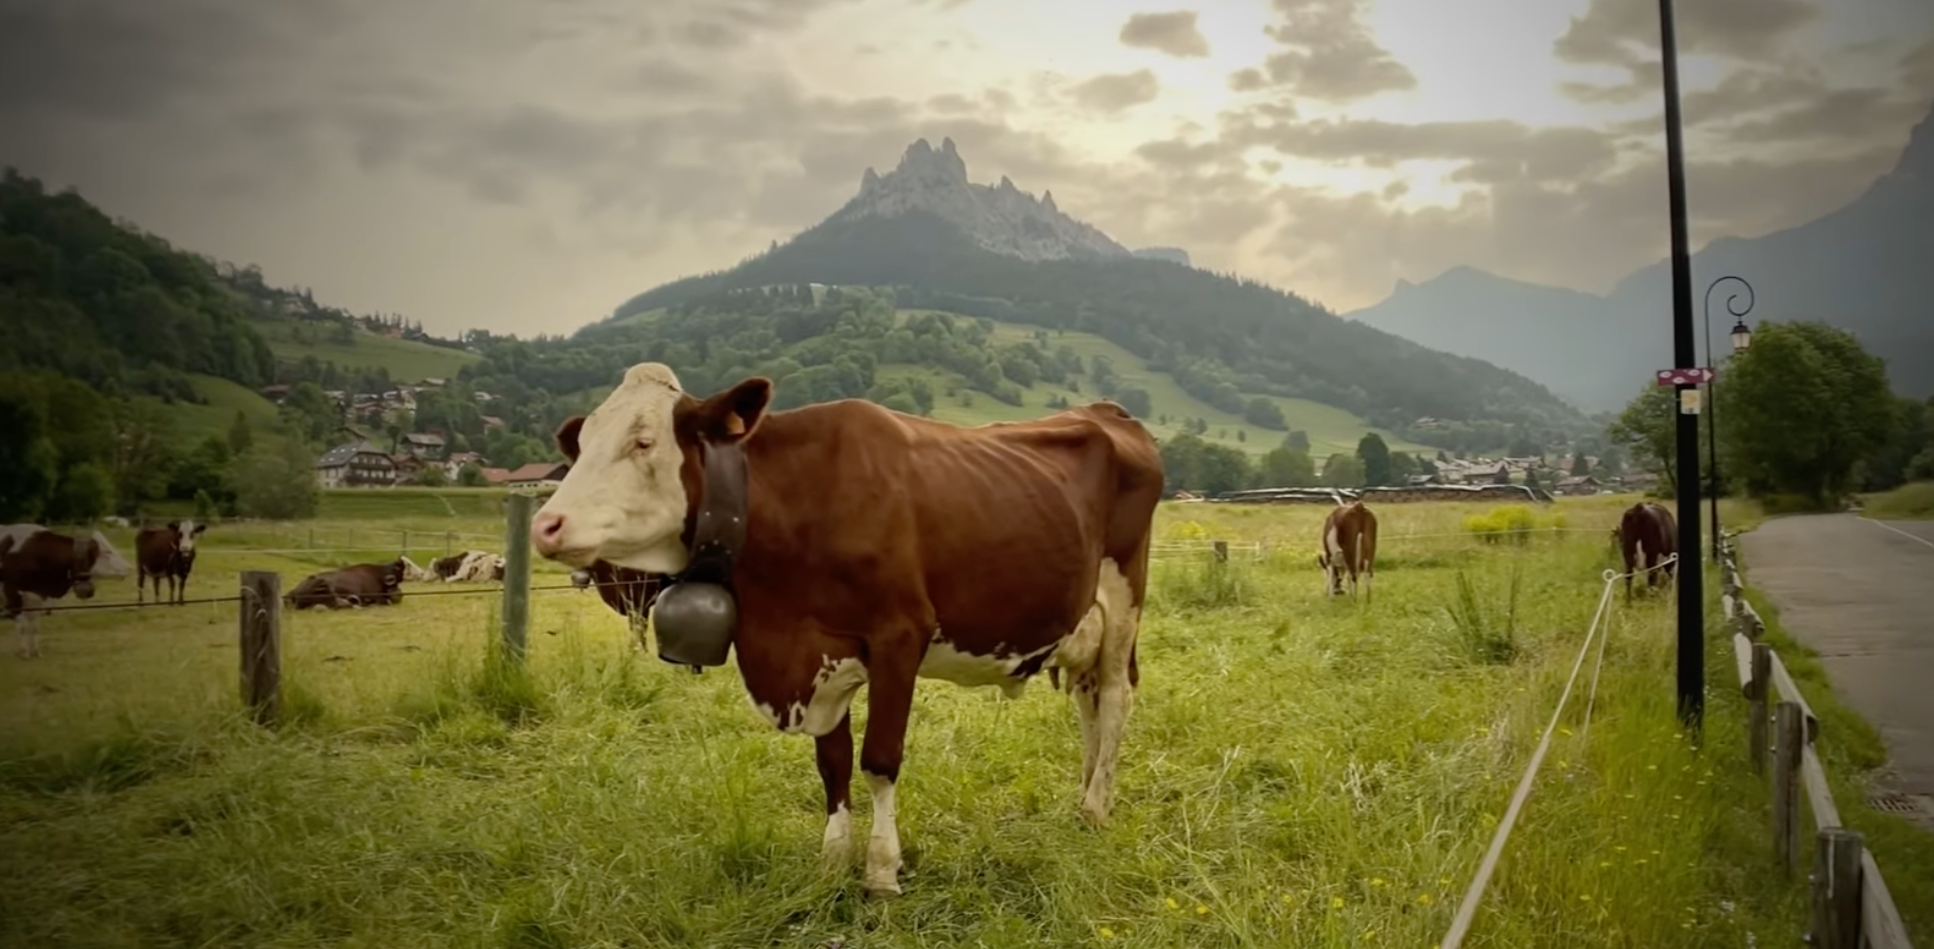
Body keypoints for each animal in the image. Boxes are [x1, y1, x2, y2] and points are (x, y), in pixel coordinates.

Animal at [0, 524, 134, 658]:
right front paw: (24, 653)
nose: (129, 567)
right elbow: (21, 626)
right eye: (108, 552)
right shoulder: (12, 594)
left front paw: (36, 652)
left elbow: (34, 626)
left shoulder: (37, 596)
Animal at [529, 363, 1164, 900]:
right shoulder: (817, 652)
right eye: (583, 444)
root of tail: (1105, 411)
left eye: (643, 441)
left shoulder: (899, 637)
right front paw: (832, 860)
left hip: (1124, 598)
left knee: (1114, 697)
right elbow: (832, 762)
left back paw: (1095, 809)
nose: (545, 524)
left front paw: (882, 870)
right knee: (1088, 701)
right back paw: (1085, 792)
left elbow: (879, 759)